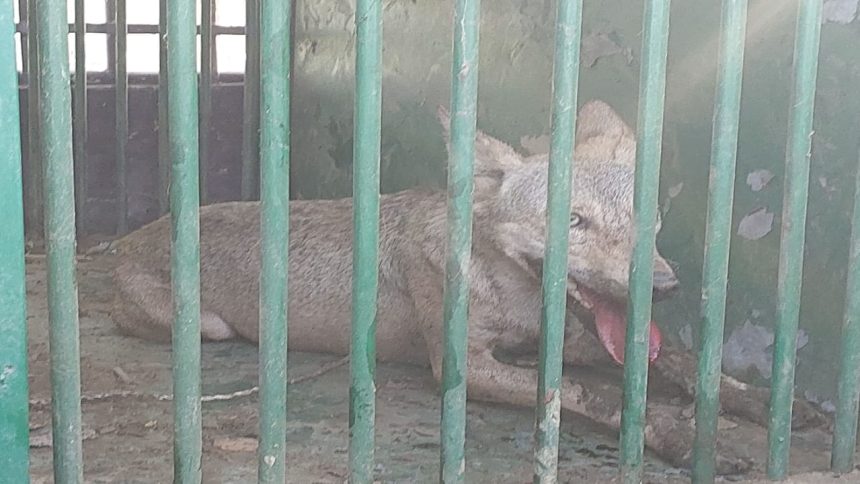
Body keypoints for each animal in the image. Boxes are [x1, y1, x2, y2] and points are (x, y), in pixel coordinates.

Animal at [110, 99, 826, 474]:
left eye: (646, 221)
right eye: (573, 222)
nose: (670, 287)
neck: (508, 291)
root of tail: (127, 238)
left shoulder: (567, 335)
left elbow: (676, 361)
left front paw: (769, 404)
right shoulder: (466, 367)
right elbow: (589, 395)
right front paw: (680, 435)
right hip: (208, 328)